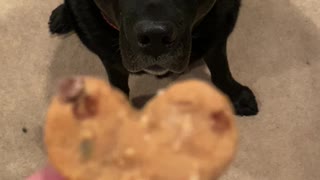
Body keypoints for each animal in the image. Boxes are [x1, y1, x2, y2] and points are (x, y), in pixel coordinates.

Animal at [49, 0, 258, 115]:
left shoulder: (219, 31)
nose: (155, 38)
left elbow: (220, 68)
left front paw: (236, 95)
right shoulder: (110, 59)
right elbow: (118, 84)